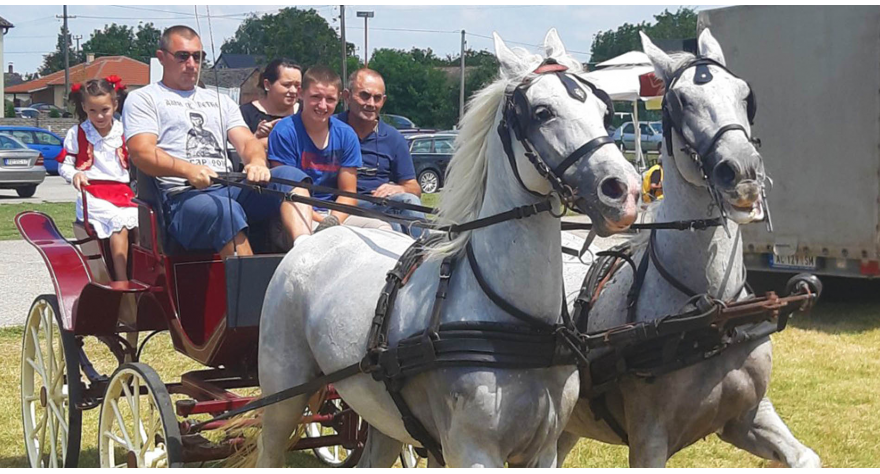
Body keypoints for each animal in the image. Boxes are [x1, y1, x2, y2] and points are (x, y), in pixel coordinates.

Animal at [254, 28, 640, 466]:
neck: (517, 320)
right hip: (283, 394)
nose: (623, 191)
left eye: (605, 111)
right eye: (542, 112)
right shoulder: (472, 450)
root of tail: (314, 237)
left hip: (382, 414)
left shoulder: (544, 450)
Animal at [556, 30, 820, 470]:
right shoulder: (648, 442)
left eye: (745, 94)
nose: (743, 173)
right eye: (680, 101)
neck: (711, 311)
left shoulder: (749, 417)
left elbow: (805, 458)